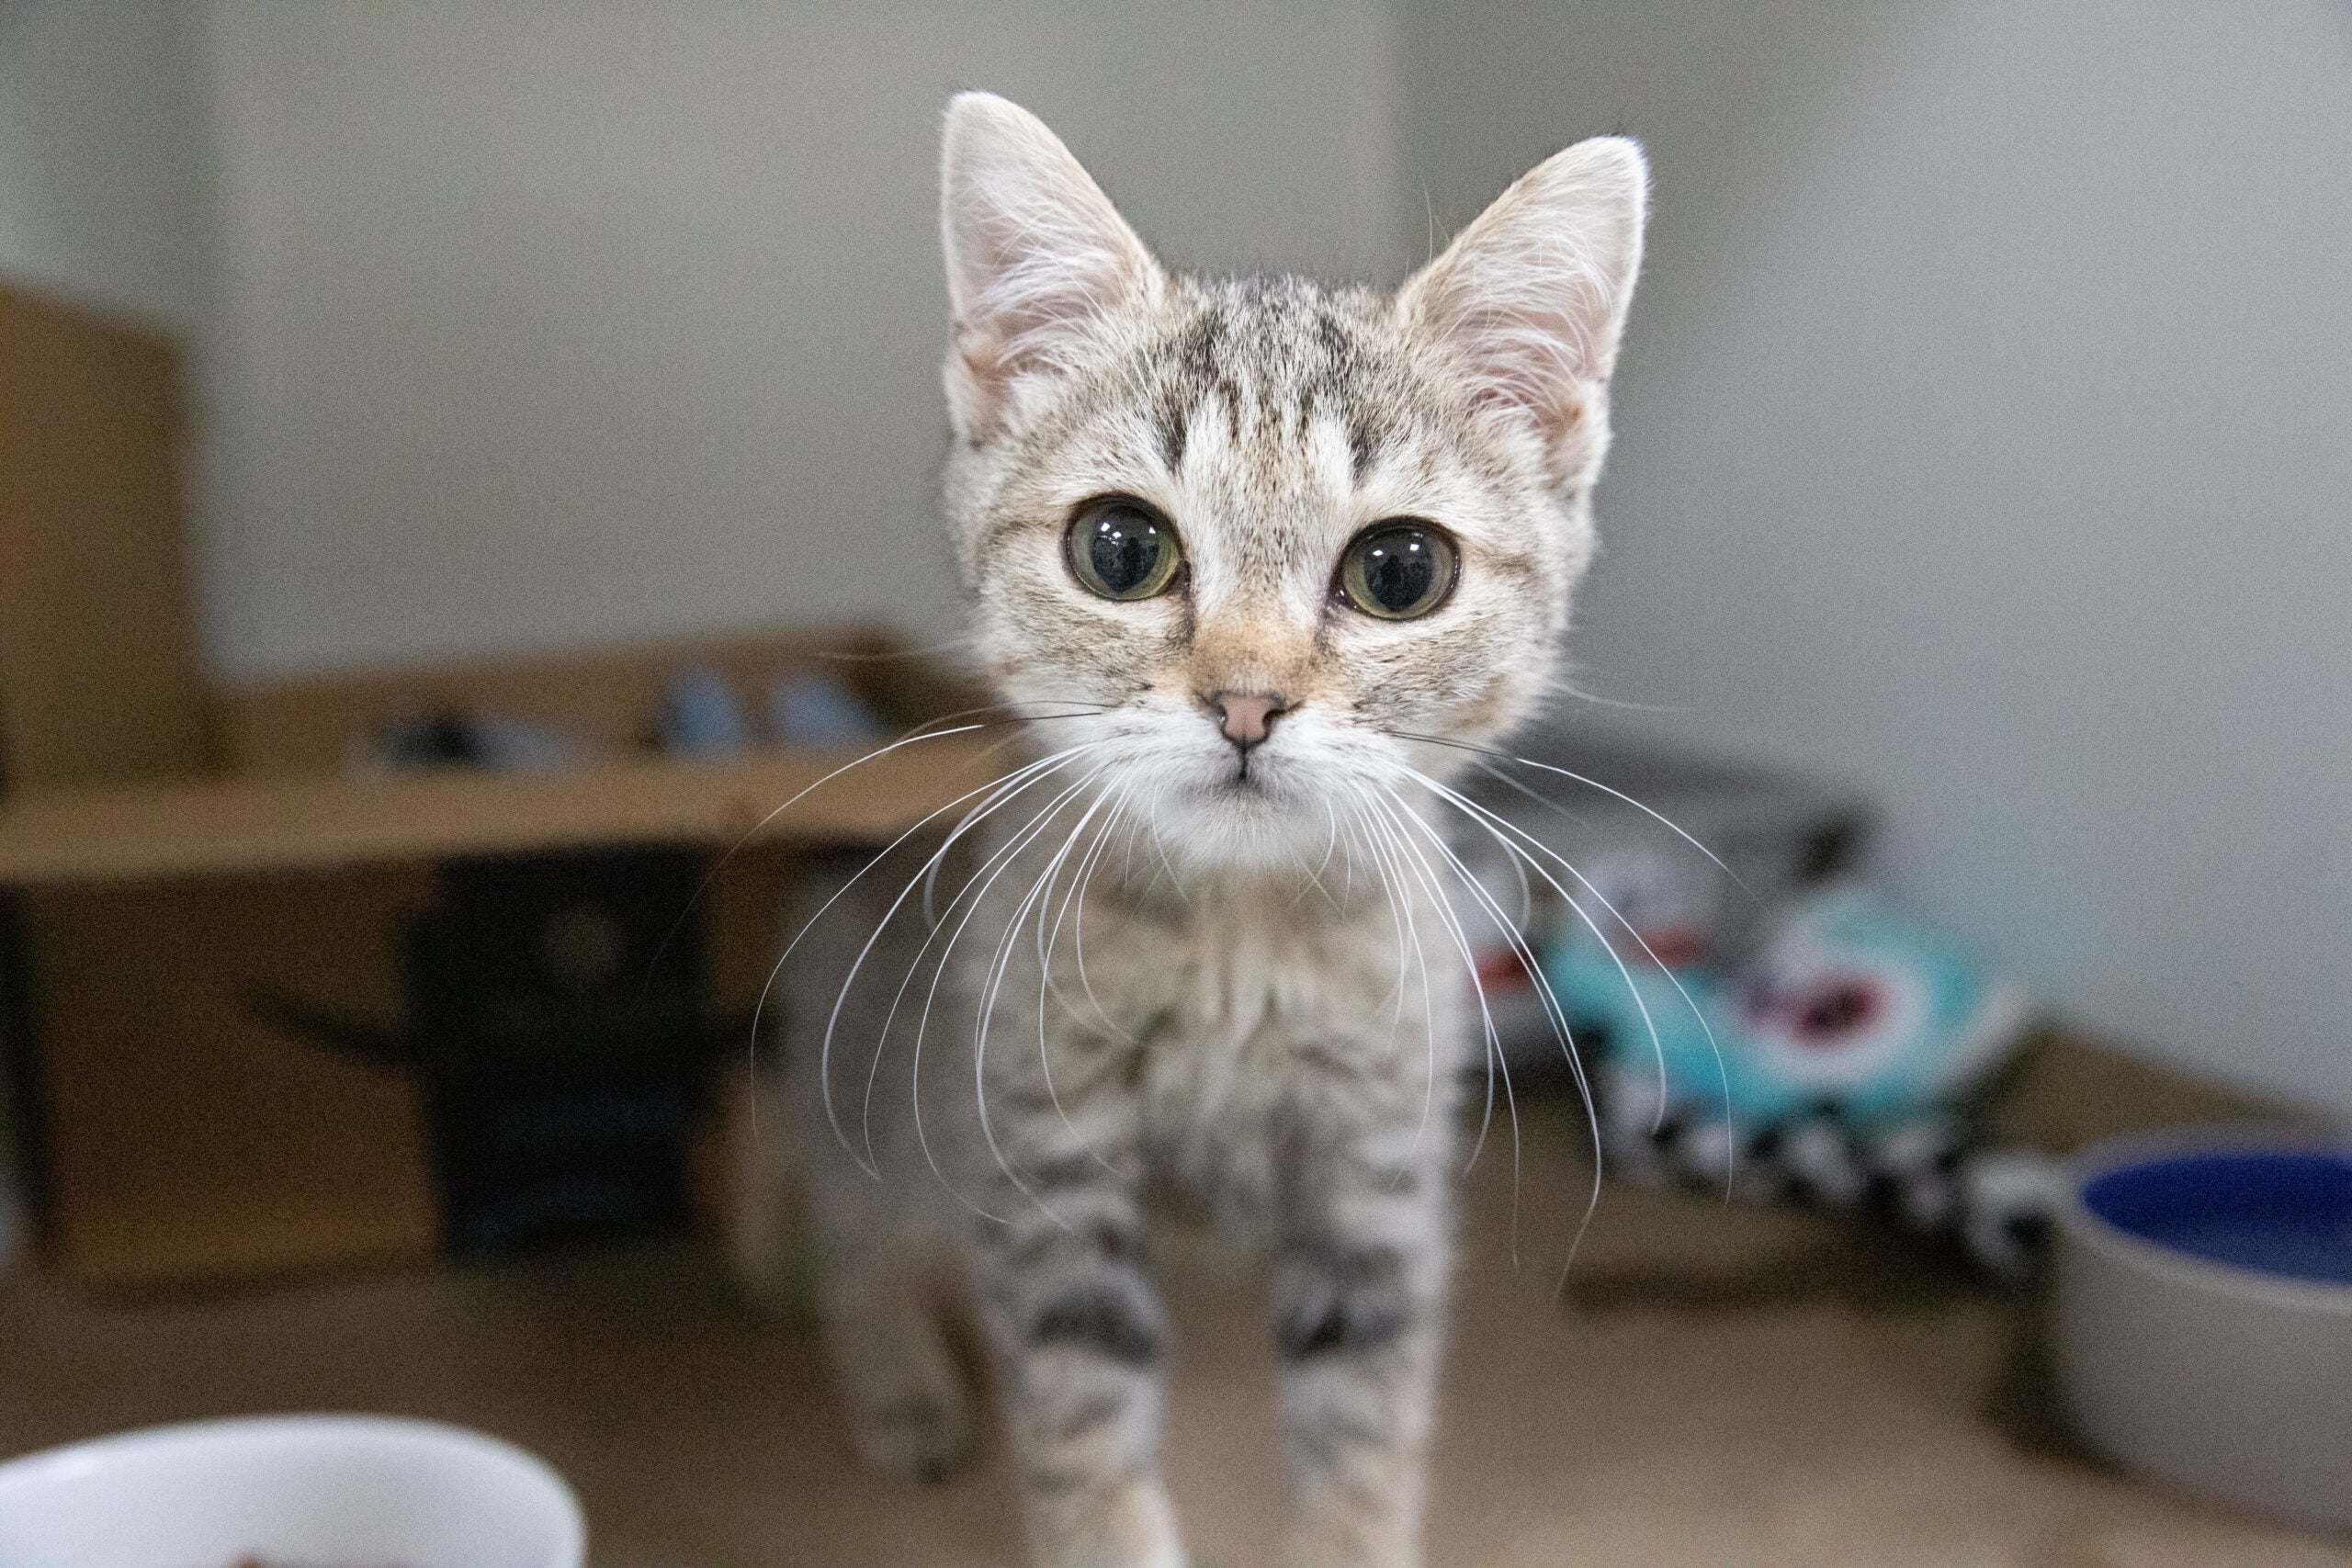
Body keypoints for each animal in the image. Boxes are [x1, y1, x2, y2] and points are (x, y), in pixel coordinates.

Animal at [762, 92, 1646, 1561]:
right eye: (1122, 549)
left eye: (1400, 570)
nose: (1246, 701)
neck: (1240, 936)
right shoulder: (1045, 1162)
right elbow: (1083, 1439)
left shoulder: (1375, 1171)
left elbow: (1365, 1439)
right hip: (869, 1069)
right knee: (841, 1217)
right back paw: (896, 1383)